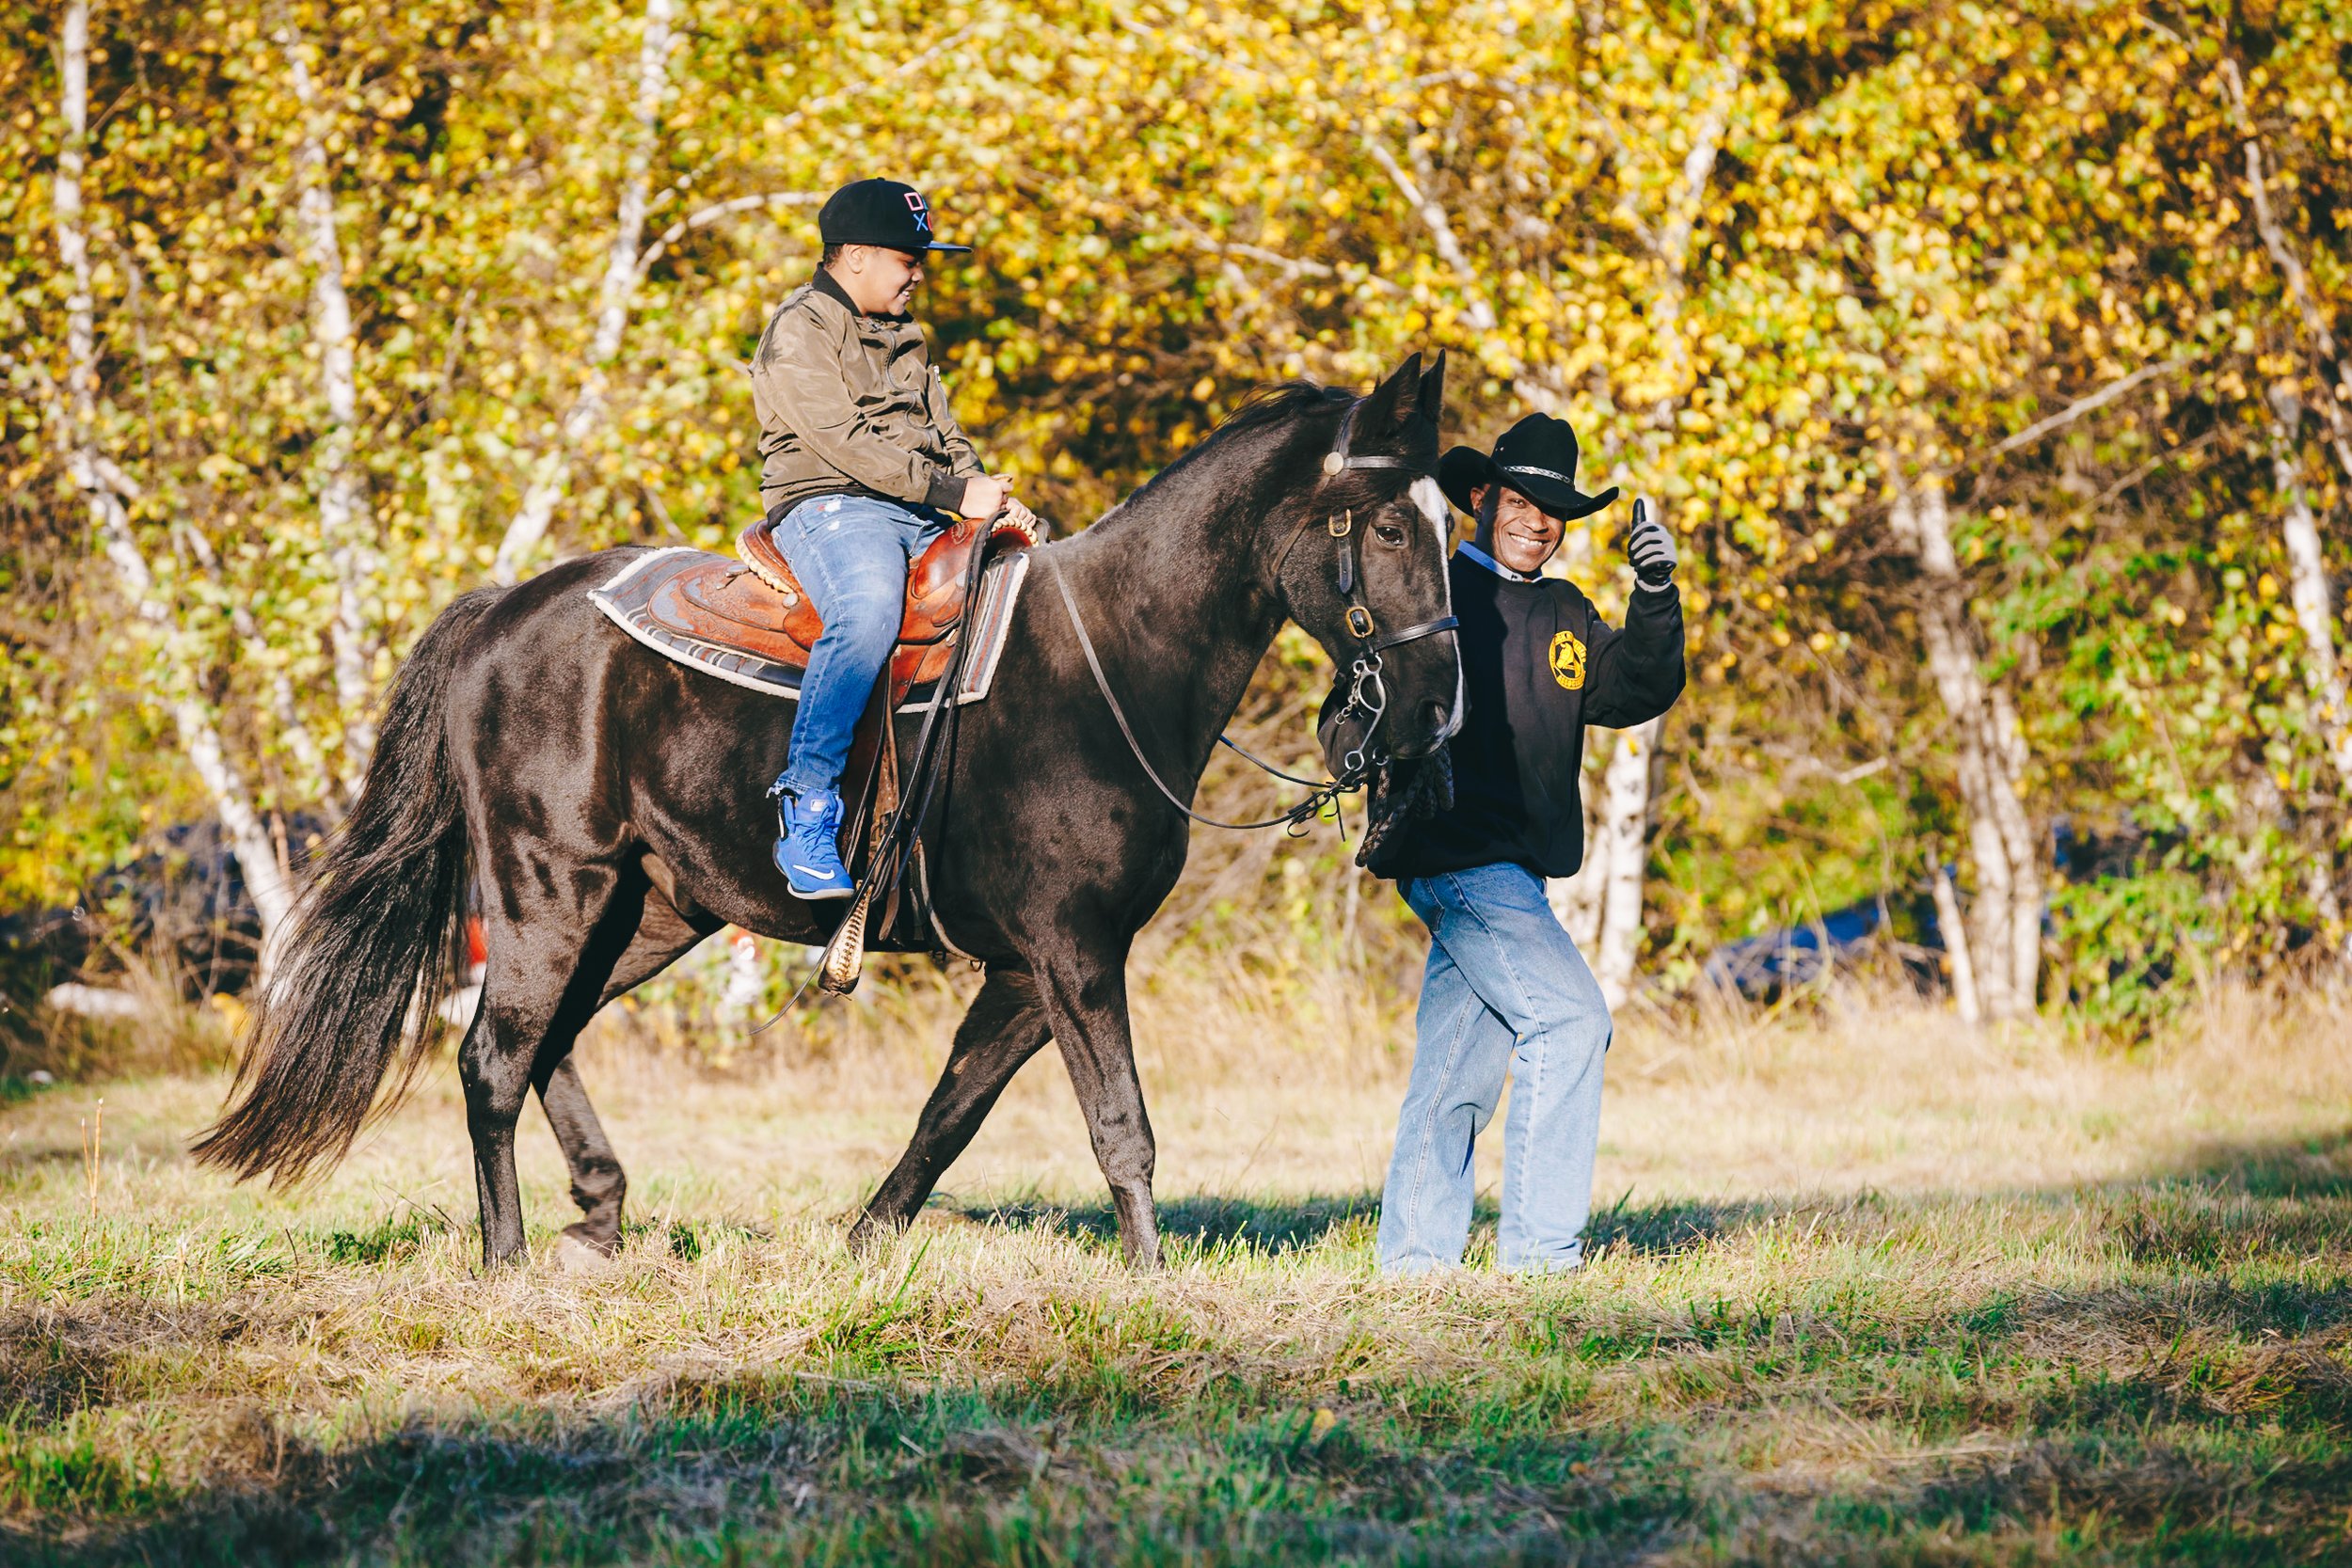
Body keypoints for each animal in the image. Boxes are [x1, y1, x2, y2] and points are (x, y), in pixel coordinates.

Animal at [198, 352, 1449, 1259]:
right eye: (1390, 526)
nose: (1436, 703)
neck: (1112, 661)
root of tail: (502, 610)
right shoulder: (1074, 949)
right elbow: (1121, 1123)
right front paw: (1148, 1277)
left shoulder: (1027, 968)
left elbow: (951, 1113)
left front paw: (864, 1242)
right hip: (551, 891)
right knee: (494, 1058)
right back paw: (506, 1254)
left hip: (648, 911)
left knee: (548, 1040)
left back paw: (600, 1213)